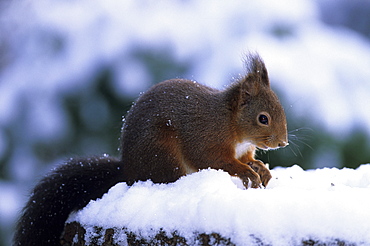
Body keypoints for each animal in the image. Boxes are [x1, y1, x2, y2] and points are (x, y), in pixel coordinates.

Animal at [13, 52, 288, 245]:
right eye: (263, 118)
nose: (283, 143)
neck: (231, 123)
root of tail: (128, 171)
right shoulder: (206, 138)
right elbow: (215, 161)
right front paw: (247, 172)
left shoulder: (243, 149)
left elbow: (248, 159)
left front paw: (261, 168)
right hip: (163, 153)